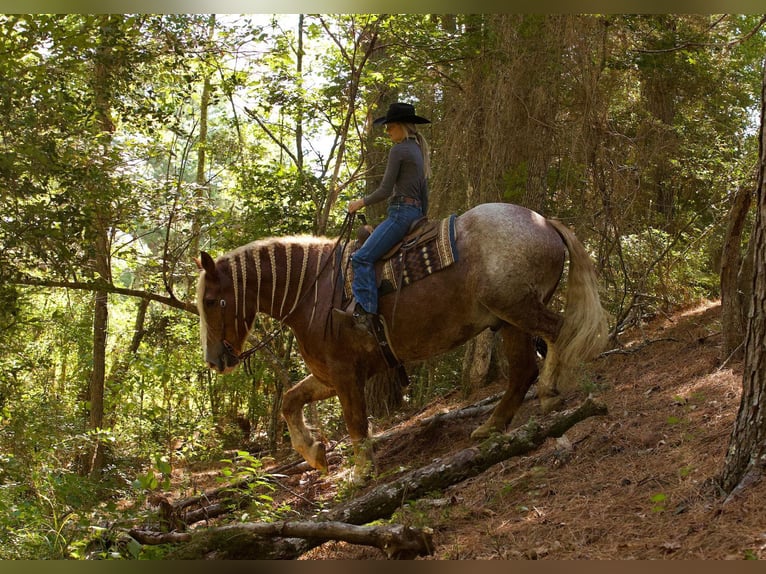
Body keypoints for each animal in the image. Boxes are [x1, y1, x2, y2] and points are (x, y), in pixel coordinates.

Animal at [198, 205, 612, 484]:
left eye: (211, 301)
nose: (216, 360)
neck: (313, 292)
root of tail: (543, 221)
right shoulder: (330, 375)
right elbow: (289, 400)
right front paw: (314, 454)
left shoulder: (346, 375)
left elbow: (355, 422)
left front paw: (362, 473)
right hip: (509, 320)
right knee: (524, 368)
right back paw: (492, 426)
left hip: (517, 308)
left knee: (558, 334)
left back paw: (550, 393)